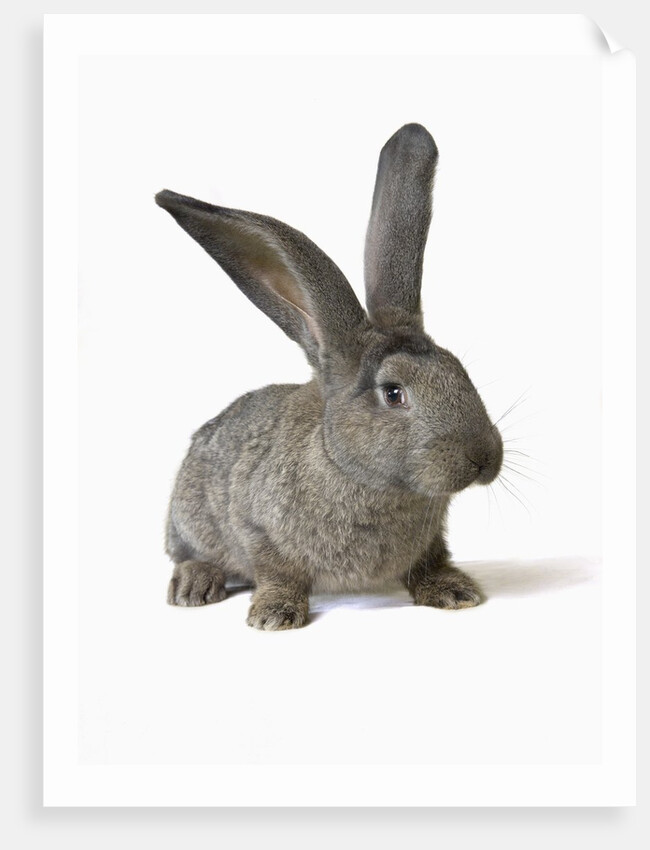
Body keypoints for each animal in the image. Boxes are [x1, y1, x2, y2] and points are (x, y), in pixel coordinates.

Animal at [156, 123, 503, 630]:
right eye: (393, 393)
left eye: (459, 370)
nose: (484, 457)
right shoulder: (257, 527)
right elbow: (275, 570)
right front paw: (274, 615)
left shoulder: (431, 538)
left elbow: (431, 560)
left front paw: (454, 591)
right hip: (190, 515)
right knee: (186, 552)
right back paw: (194, 585)